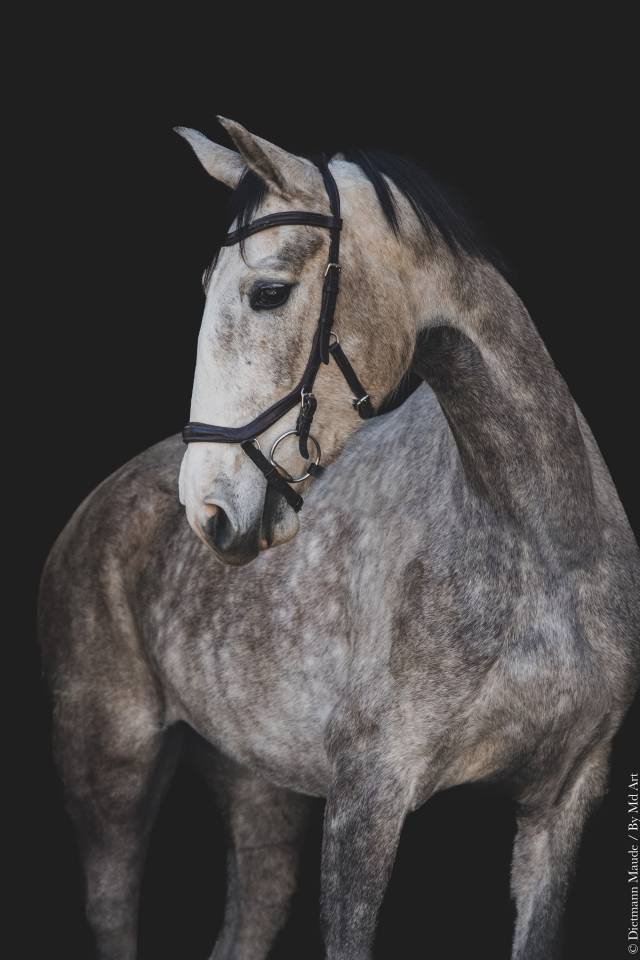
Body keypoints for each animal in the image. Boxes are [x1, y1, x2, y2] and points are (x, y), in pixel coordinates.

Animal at [39, 118, 640, 959]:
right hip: (108, 772)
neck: (539, 552)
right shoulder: (366, 799)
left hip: (256, 787)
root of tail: (98, 503)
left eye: (268, 292)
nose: (208, 509)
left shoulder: (563, 802)